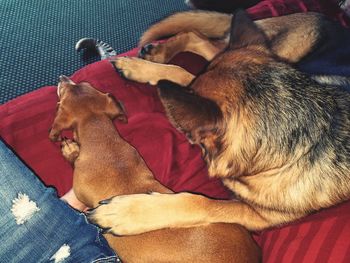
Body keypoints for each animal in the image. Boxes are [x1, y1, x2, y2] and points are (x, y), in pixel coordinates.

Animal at [88, 9, 350, 237]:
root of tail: (327, 19)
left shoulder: (256, 215)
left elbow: (200, 202)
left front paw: (128, 213)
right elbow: (182, 73)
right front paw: (142, 68)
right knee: (197, 39)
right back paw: (151, 57)